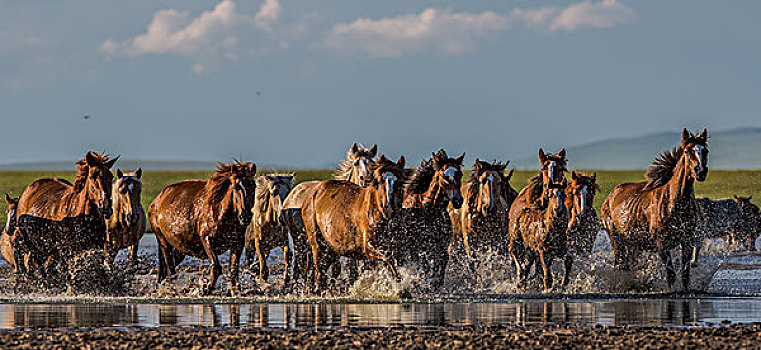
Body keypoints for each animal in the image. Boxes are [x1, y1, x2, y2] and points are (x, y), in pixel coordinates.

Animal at [150, 161, 256, 296]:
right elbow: (216, 267)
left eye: (253, 185)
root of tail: (157, 200)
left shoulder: (237, 243)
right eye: (236, 186)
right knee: (170, 269)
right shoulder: (207, 239)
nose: (245, 216)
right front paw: (206, 289)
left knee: (168, 267)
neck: (220, 211)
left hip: (180, 247)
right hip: (163, 241)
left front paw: (235, 291)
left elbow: (233, 269)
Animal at [302, 155, 406, 292]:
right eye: (380, 181)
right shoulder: (369, 246)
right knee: (320, 273)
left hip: (332, 249)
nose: (388, 210)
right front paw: (401, 288)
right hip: (317, 245)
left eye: (400, 182)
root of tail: (312, 193)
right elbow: (387, 258)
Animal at [600, 127, 708, 292]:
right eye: (687, 151)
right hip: (616, 240)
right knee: (621, 265)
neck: (675, 203)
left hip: (633, 245)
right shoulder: (662, 244)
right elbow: (671, 275)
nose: (701, 171)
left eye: (705, 150)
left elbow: (685, 274)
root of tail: (611, 196)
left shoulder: (687, 241)